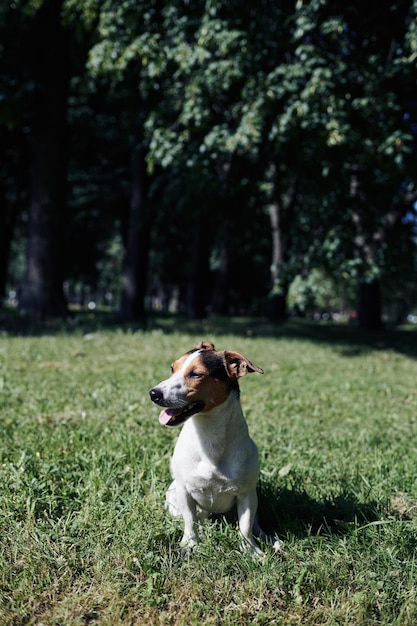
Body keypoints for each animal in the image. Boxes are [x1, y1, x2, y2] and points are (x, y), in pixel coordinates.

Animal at [148, 342, 278, 552]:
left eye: (196, 374)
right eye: (172, 368)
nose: (154, 393)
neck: (208, 434)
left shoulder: (246, 495)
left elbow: (245, 526)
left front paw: (251, 550)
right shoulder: (184, 491)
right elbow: (190, 521)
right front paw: (190, 544)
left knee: (254, 524)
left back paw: (268, 539)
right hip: (174, 496)